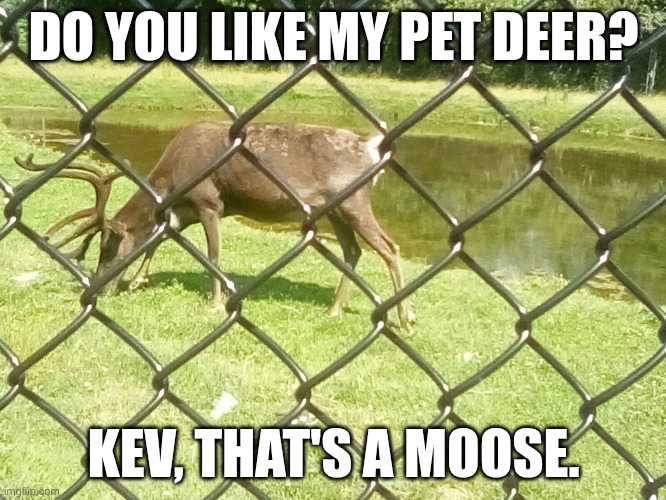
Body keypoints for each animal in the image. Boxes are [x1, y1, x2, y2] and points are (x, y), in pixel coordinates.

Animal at [16, 122, 416, 330]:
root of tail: (371, 146)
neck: (170, 180)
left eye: (107, 246)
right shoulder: (184, 210)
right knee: (353, 250)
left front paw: (215, 301)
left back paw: (406, 318)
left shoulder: (210, 201)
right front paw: (140, 280)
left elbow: (212, 253)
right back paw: (334, 310)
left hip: (354, 201)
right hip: (334, 210)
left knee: (391, 247)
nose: (102, 289)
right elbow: (163, 237)